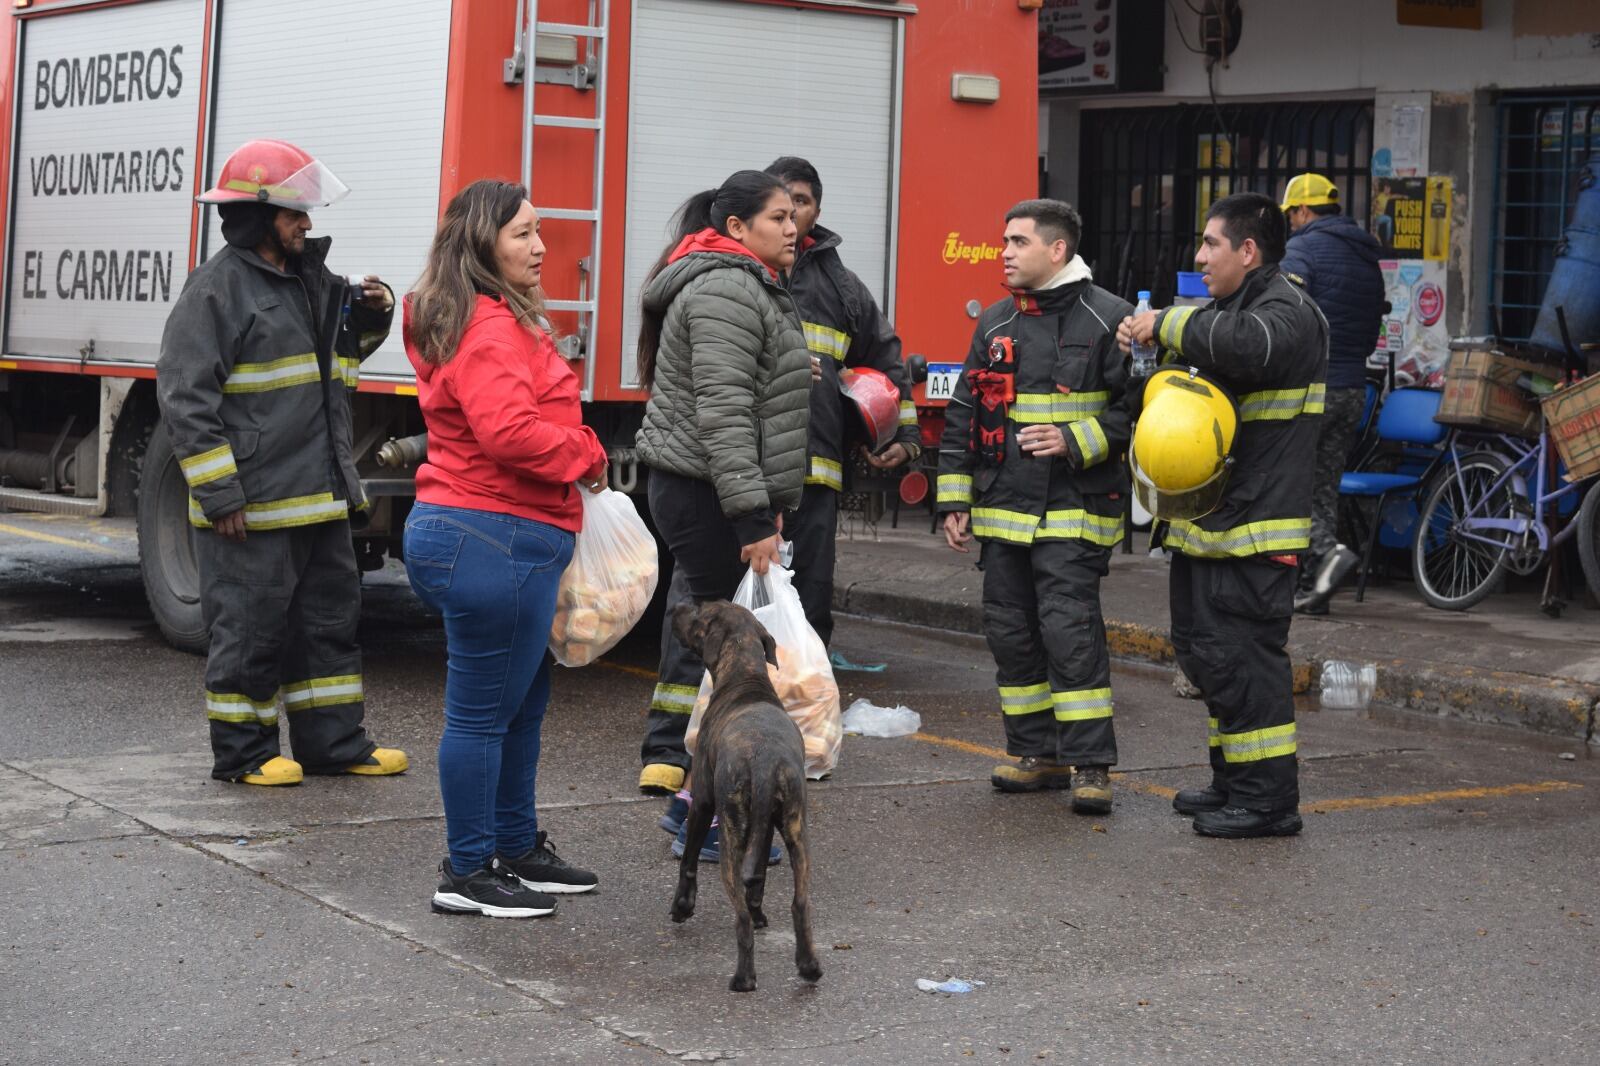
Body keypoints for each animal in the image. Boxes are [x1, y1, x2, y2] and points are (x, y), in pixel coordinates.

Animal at [668, 598, 825, 985]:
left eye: (700, 613)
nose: (678, 606)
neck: (746, 676)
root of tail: (765, 761)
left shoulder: (703, 801)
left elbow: (689, 862)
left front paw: (682, 907)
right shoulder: (765, 826)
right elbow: (759, 879)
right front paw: (761, 915)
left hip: (730, 831)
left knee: (739, 913)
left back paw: (743, 979)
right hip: (795, 828)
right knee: (799, 902)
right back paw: (809, 966)